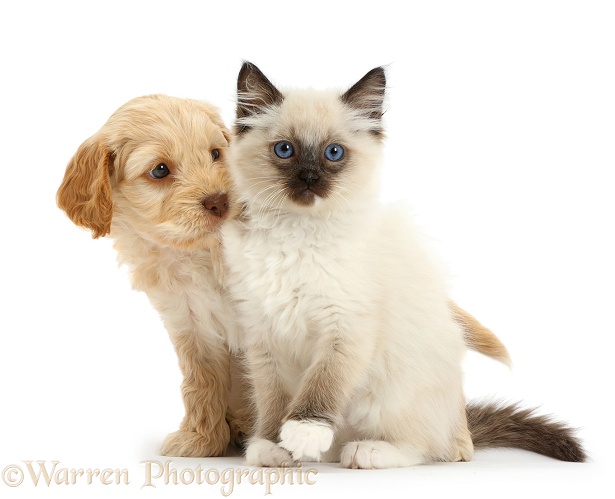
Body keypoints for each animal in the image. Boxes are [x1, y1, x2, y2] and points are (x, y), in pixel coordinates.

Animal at [57, 93, 510, 458]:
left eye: (216, 154)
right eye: (160, 171)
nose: (219, 202)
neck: (202, 254)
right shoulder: (191, 327)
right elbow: (202, 385)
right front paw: (200, 440)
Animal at [221, 63, 588, 468]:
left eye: (333, 153)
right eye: (285, 150)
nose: (310, 179)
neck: (297, 233)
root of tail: (463, 427)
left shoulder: (346, 326)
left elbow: (322, 383)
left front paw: (303, 431)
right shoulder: (264, 335)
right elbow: (273, 400)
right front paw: (273, 446)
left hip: (392, 390)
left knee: (433, 448)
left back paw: (365, 451)